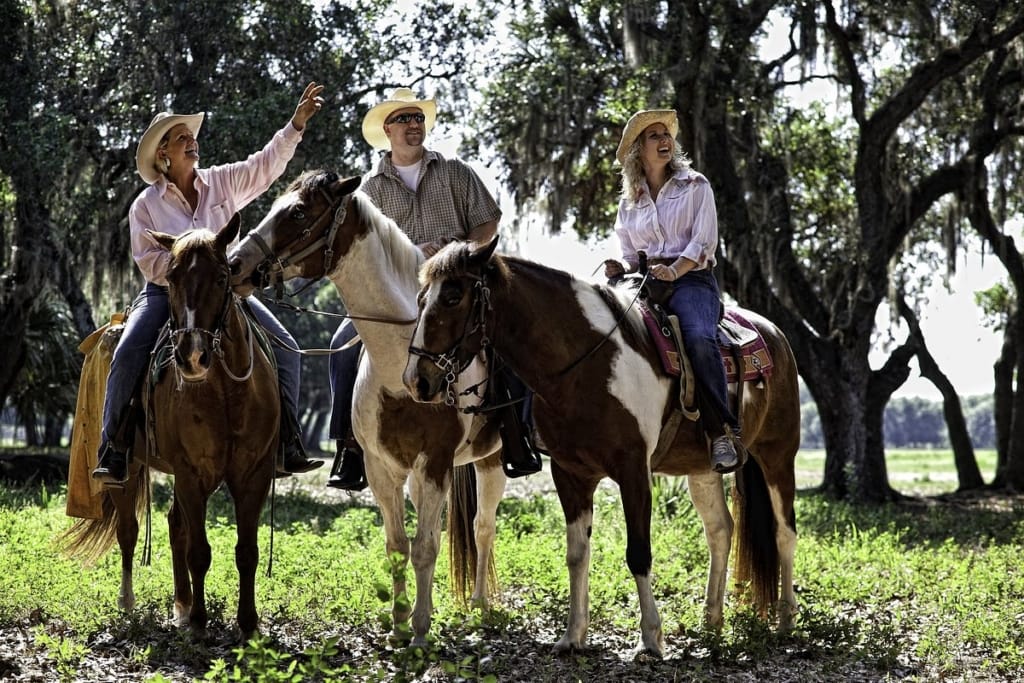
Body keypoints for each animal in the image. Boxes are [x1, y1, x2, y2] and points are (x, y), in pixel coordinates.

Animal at [64, 216, 280, 643]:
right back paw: (130, 603)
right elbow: (200, 551)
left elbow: (246, 551)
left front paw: (248, 624)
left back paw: (180, 605)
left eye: (222, 276)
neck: (226, 391)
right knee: (130, 531)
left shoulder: (253, 474)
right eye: (172, 277)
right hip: (130, 469)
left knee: (174, 524)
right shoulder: (191, 471)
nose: (192, 356)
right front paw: (199, 623)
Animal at [228, 169, 507, 647]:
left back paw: (479, 606)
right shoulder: (381, 468)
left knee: (483, 527)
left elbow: (426, 547)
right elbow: (398, 546)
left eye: (297, 212)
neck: (402, 365)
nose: (234, 265)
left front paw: (420, 631)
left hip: (492, 460)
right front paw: (399, 626)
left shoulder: (433, 463)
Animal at [399, 239, 798, 655]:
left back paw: (786, 618)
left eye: (453, 297)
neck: (587, 363)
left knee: (784, 532)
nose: (416, 380)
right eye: (421, 298)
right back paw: (712, 620)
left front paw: (650, 638)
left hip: (778, 455)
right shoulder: (571, 473)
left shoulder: (633, 470)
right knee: (720, 530)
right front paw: (572, 635)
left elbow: (638, 553)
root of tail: (774, 333)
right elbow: (577, 555)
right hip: (701, 469)